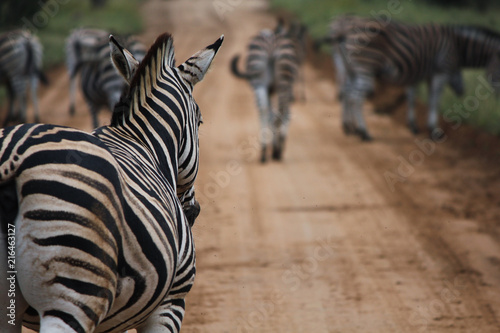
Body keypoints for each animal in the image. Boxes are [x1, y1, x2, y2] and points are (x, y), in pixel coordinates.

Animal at [0, 31, 223, 332]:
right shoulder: (170, 303)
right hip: (74, 290)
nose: (193, 211)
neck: (142, 141)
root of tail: (13, 159)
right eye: (199, 122)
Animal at [231, 20, 298, 163]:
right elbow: (284, 114)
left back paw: (264, 152)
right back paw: (277, 151)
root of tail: (271, 43)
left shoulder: (270, 90)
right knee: (281, 111)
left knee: (264, 110)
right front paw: (277, 147)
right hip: (283, 82)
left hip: (258, 82)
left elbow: (271, 113)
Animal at [326, 18, 500, 139]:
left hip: (351, 69)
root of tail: (344, 32)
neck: (457, 45)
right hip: (365, 68)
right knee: (356, 97)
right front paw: (434, 131)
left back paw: (349, 128)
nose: (462, 91)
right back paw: (364, 133)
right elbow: (434, 100)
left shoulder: (425, 74)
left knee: (347, 92)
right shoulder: (441, 71)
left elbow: (415, 97)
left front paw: (415, 127)